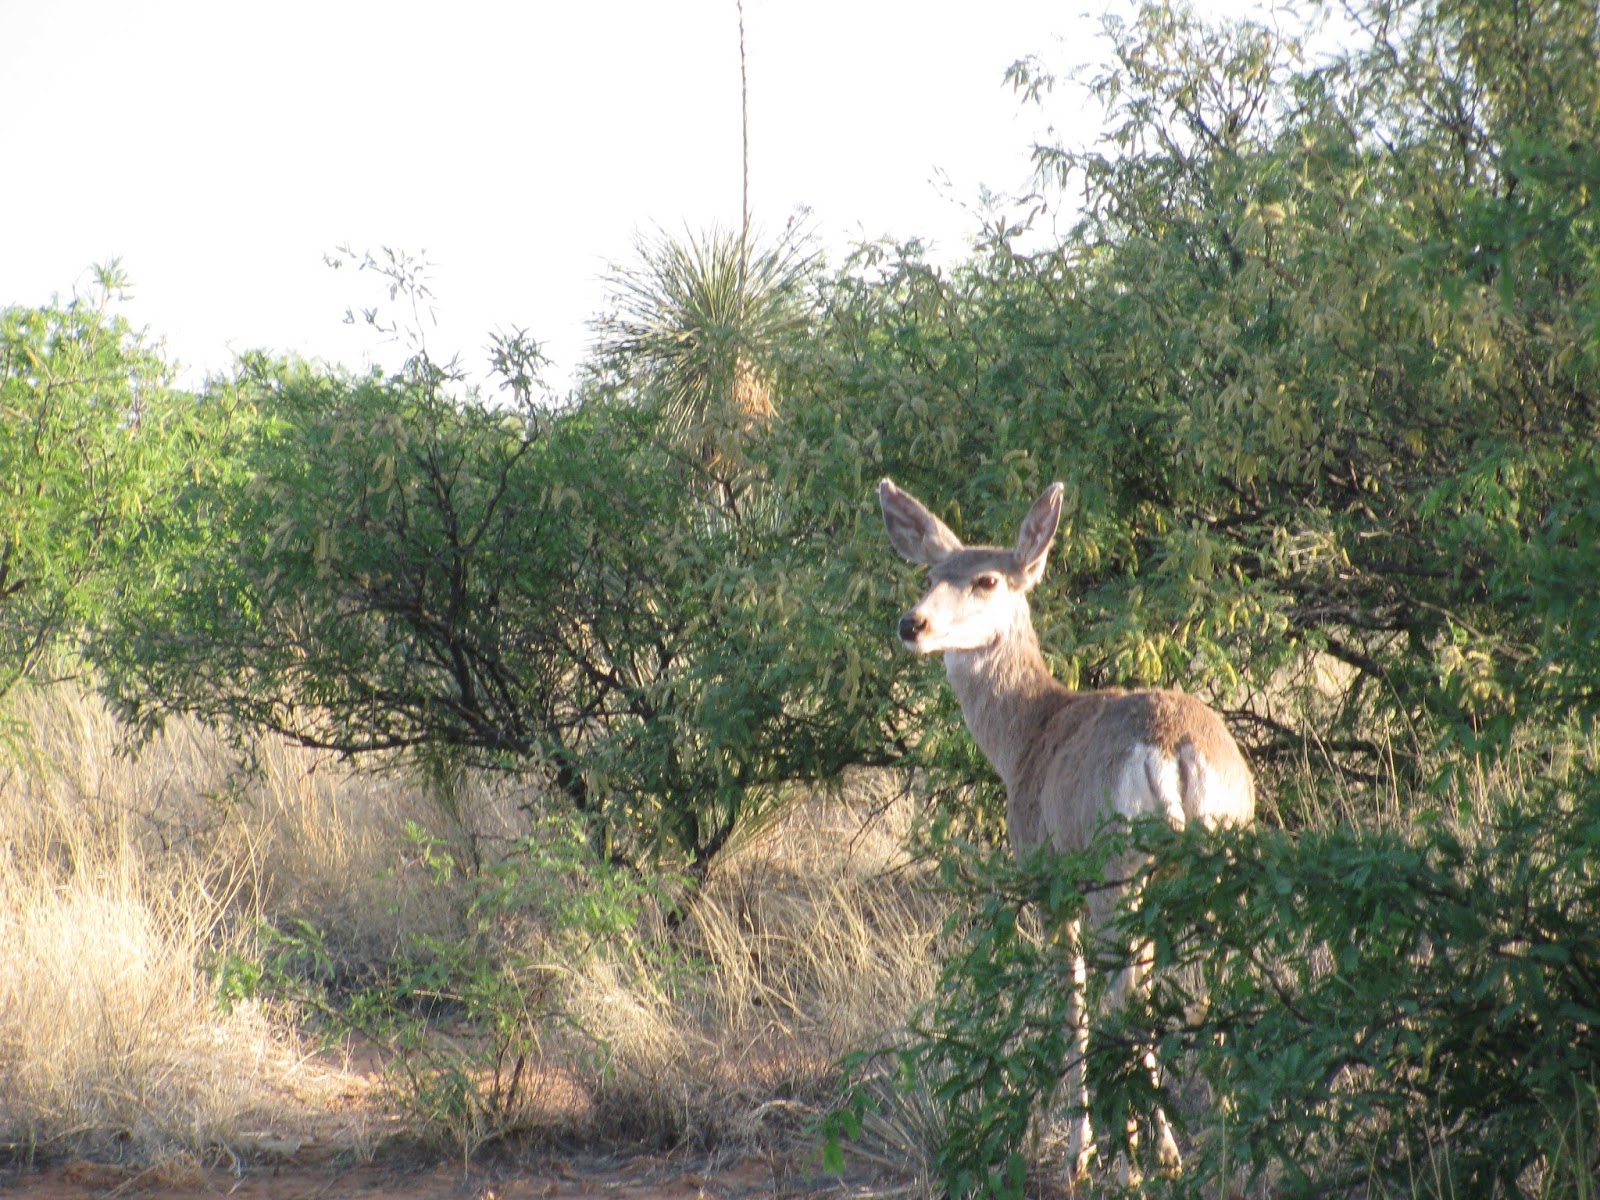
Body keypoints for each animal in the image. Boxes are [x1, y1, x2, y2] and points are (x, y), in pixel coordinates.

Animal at [883, 480, 1254, 1184]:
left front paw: (1082, 1150)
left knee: (1121, 1000)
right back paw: (1226, 1134)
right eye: (930, 574)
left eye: (988, 579)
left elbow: (1071, 1006)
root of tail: (1175, 751)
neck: (1027, 736)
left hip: (1118, 870)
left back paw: (1139, 1156)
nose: (911, 624)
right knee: (1224, 977)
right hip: (1222, 859)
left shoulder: (1048, 878)